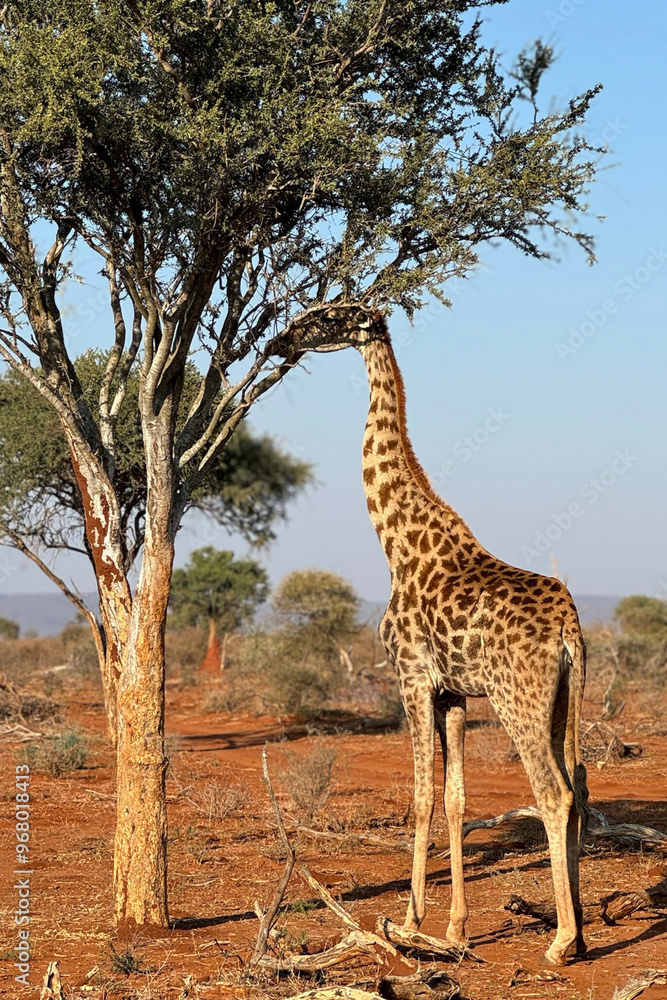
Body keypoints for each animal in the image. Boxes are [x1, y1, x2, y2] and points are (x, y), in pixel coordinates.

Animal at [289, 306, 589, 966]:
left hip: (518, 699)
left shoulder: (411, 677)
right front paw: (455, 929)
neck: (398, 542)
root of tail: (568, 625)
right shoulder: (452, 691)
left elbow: (423, 794)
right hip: (564, 698)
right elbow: (455, 800)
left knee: (553, 792)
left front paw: (408, 919)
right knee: (579, 785)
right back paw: (579, 930)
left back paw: (560, 942)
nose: (283, 337)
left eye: (329, 315)